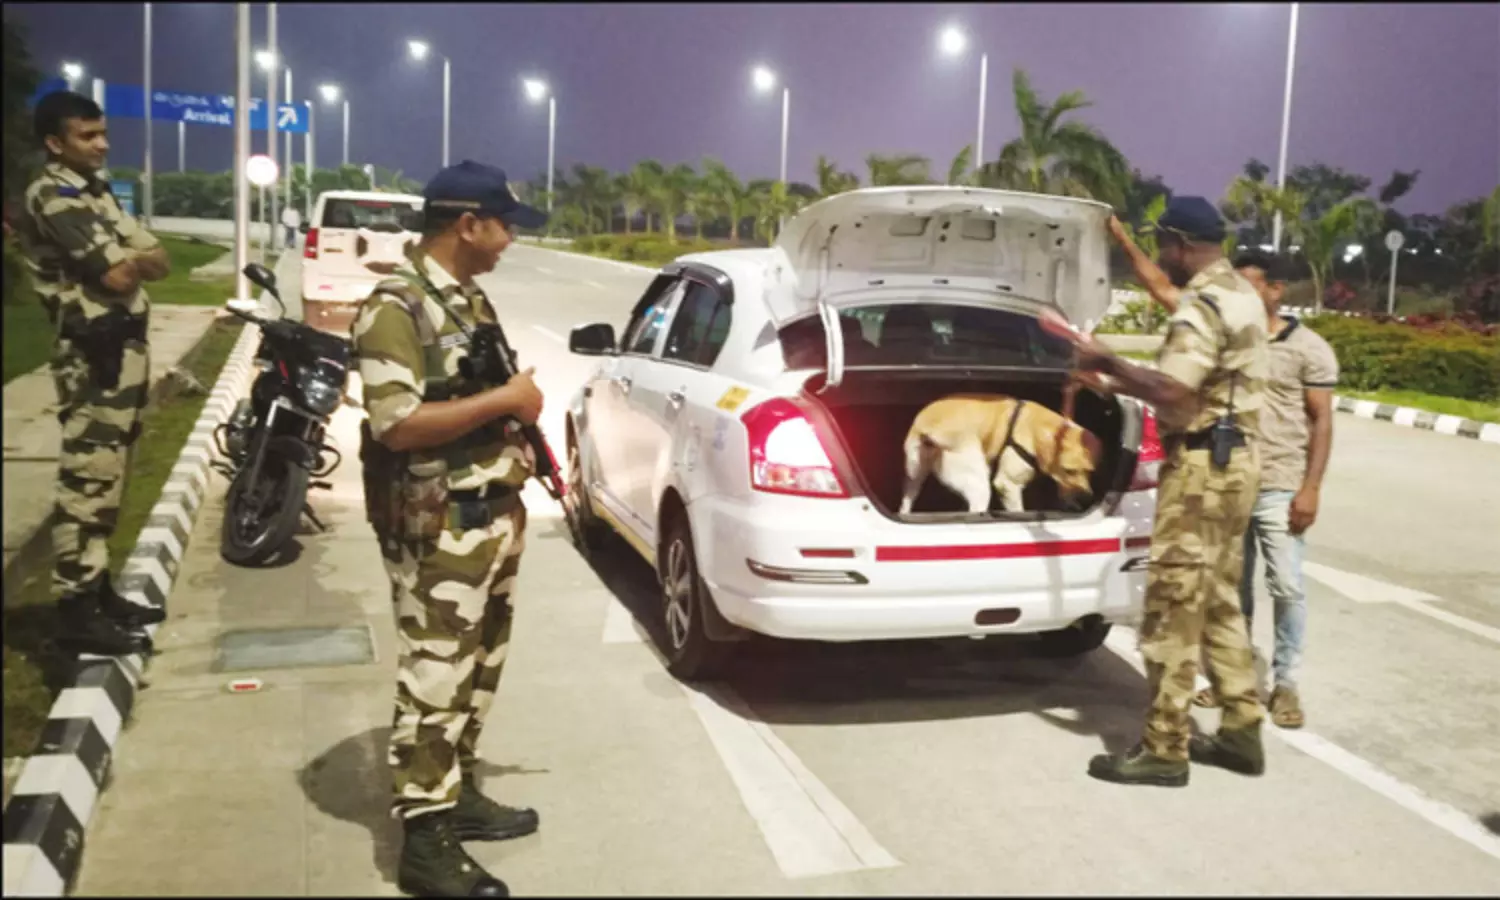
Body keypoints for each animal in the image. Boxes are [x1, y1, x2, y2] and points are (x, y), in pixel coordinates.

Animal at [899, 394, 1104, 515]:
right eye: (1068, 470)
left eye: (1091, 471)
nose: (1087, 498)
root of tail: (929, 426)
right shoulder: (1008, 485)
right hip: (979, 485)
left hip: (914, 475)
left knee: (906, 502)